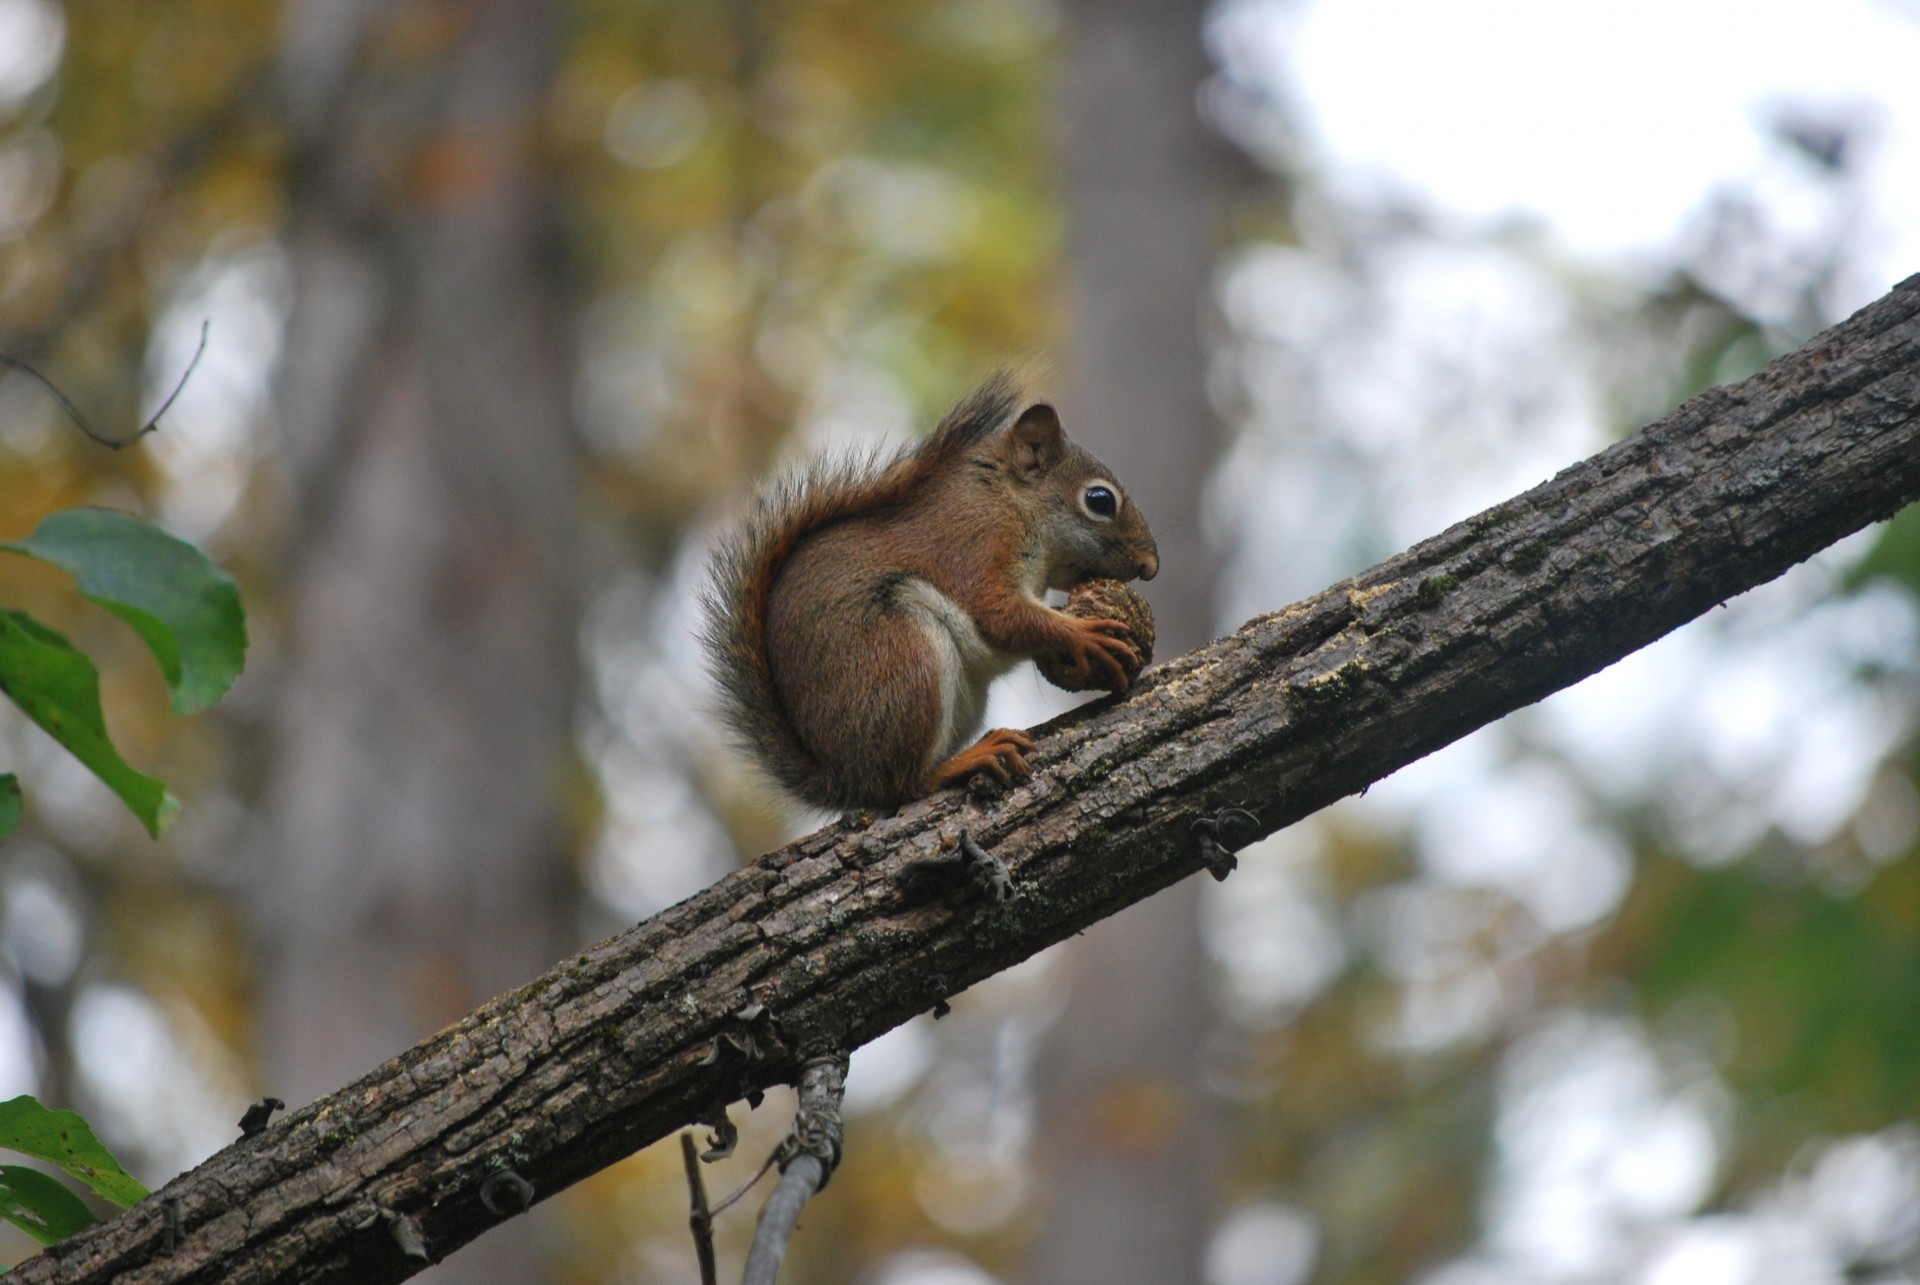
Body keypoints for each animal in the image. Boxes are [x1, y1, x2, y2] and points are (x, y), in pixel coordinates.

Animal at [702, 372, 1152, 810]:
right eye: (1099, 499)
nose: (1150, 566)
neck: (1008, 498)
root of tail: (844, 778)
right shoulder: (978, 544)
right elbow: (999, 614)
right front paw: (1085, 636)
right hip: (903, 657)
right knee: (903, 785)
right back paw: (967, 760)